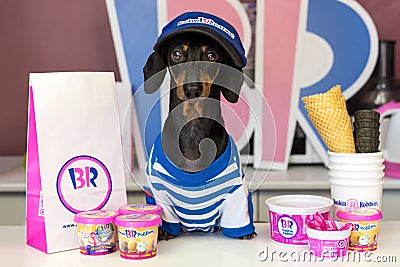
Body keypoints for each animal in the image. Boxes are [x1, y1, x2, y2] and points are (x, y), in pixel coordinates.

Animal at [142, 12, 255, 243]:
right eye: (176, 54)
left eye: (211, 55)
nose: (192, 89)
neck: (192, 129)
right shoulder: (159, 192)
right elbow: (166, 216)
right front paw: (165, 231)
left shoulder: (236, 193)